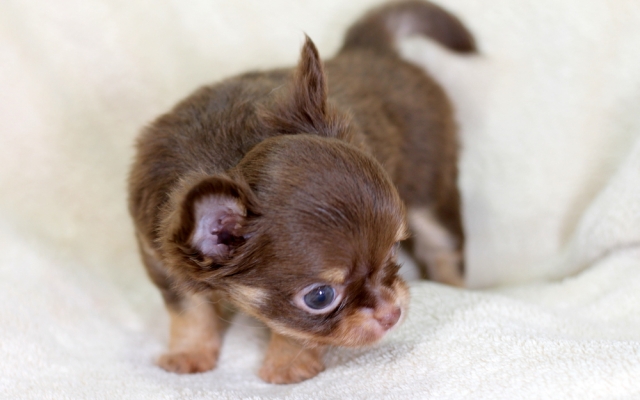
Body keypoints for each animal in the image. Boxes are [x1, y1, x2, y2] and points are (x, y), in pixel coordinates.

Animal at [128, 0, 475, 384]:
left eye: (394, 250)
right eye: (320, 297)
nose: (392, 312)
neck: (229, 152)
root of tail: (370, 49)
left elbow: (295, 332)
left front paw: (287, 366)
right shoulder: (162, 260)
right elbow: (190, 310)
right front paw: (188, 353)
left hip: (431, 192)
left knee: (444, 249)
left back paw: (453, 288)